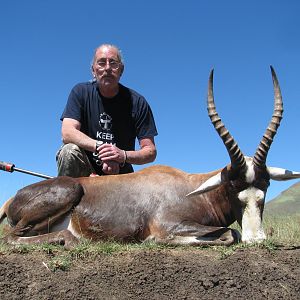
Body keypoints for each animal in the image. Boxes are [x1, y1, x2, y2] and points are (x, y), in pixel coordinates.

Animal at [0, 67, 300, 247]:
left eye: (265, 187)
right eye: (233, 186)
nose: (257, 239)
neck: (191, 187)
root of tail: (12, 198)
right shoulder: (169, 225)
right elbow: (229, 233)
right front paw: (152, 242)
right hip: (67, 192)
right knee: (11, 237)